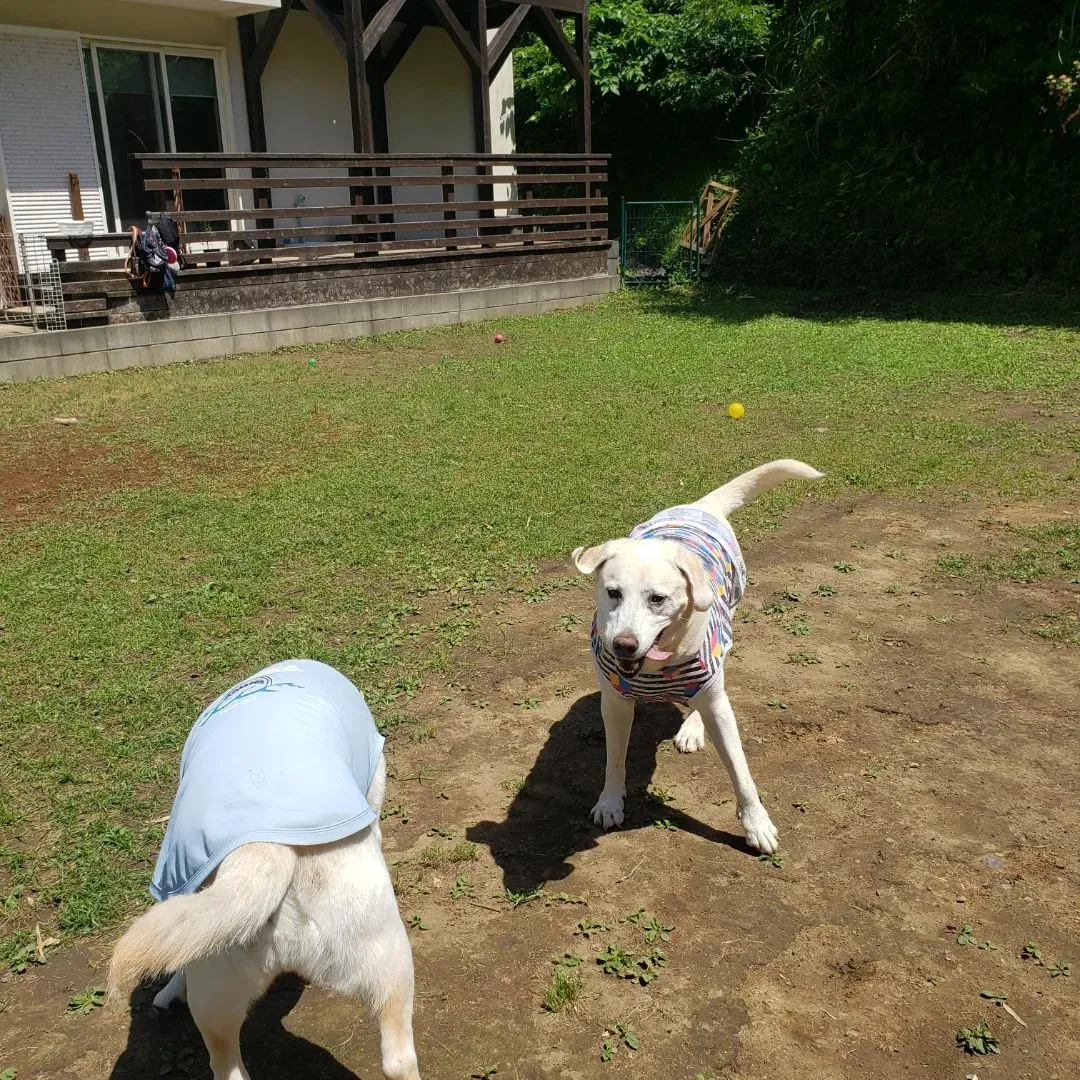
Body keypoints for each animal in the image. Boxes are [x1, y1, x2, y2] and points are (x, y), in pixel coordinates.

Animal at [574, 460, 816, 855]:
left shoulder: (716, 699)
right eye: (613, 592)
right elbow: (614, 759)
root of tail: (701, 506)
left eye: (657, 599)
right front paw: (610, 801)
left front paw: (756, 823)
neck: (658, 666)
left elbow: (740, 770)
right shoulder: (615, 703)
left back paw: (693, 727)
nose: (623, 645)